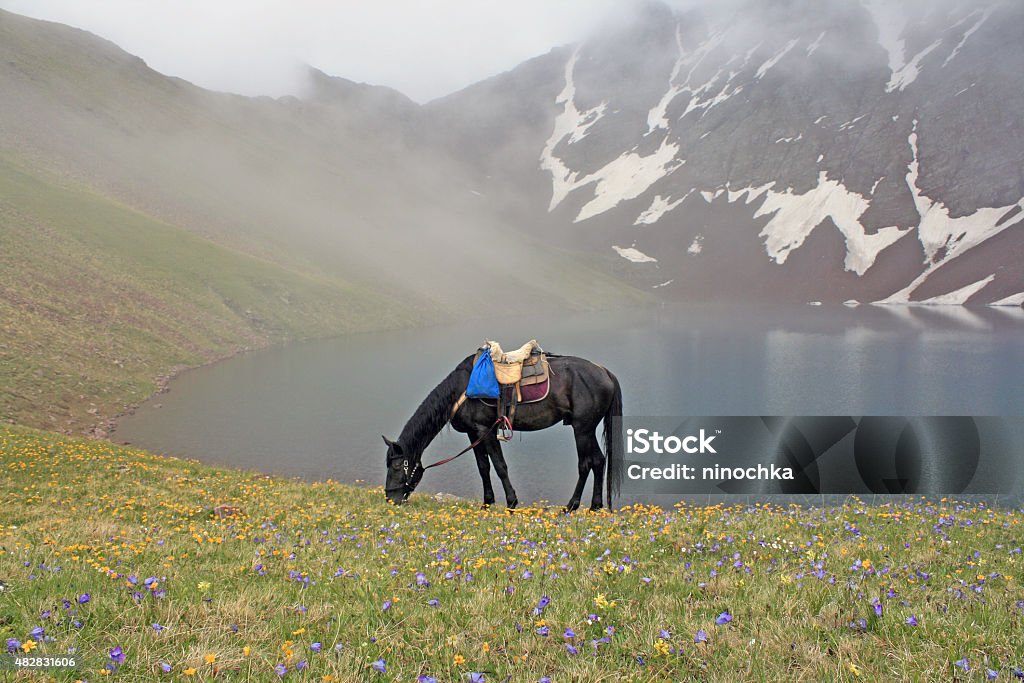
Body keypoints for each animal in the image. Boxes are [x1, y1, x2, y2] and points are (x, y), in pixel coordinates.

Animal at [385, 356, 622, 509]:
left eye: (397, 466)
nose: (389, 498)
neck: (462, 390)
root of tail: (605, 372)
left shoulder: (486, 430)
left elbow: (500, 466)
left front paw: (511, 502)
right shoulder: (473, 433)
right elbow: (483, 467)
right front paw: (486, 503)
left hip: (582, 429)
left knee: (585, 464)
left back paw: (571, 506)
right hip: (587, 429)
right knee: (599, 461)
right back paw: (595, 506)